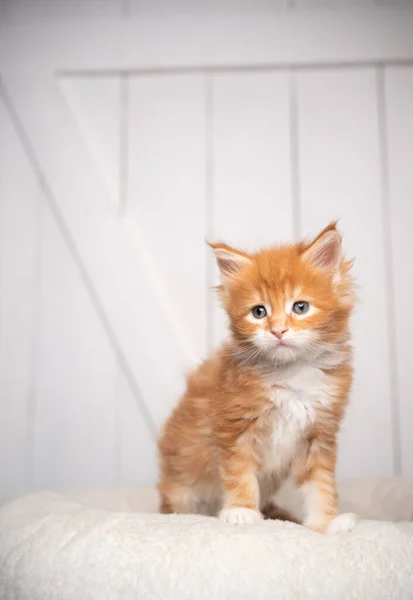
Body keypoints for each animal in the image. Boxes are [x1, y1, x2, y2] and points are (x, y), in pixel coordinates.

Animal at [156, 223, 356, 532]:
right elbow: (240, 473)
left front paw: (326, 522)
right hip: (181, 486)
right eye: (258, 312)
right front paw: (241, 511)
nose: (278, 330)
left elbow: (319, 484)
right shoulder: (232, 425)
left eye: (300, 307)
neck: (291, 372)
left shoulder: (320, 433)